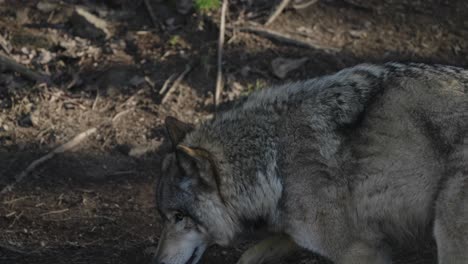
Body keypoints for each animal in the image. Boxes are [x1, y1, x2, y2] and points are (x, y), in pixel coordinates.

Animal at [154, 62, 468, 264]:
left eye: (179, 217)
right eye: (164, 217)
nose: (157, 262)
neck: (273, 161)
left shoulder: (359, 251)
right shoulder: (299, 232)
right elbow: (249, 255)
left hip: (448, 234)